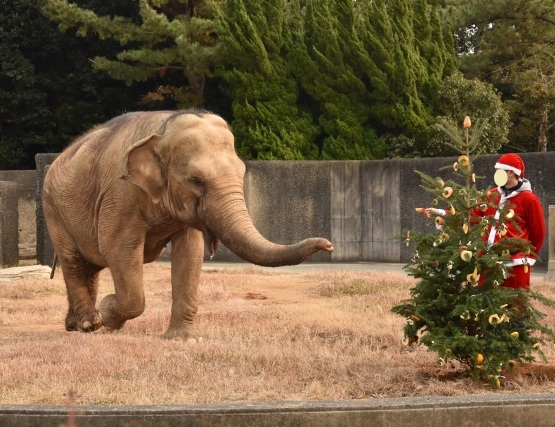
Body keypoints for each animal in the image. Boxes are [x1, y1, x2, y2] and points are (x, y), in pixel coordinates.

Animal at [43, 110, 334, 342]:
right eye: (196, 181)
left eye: (241, 173)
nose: (329, 245)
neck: (161, 130)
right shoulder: (120, 196)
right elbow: (119, 249)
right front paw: (107, 314)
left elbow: (190, 254)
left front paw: (183, 340)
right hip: (53, 209)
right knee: (73, 261)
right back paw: (89, 324)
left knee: (89, 267)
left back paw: (76, 325)